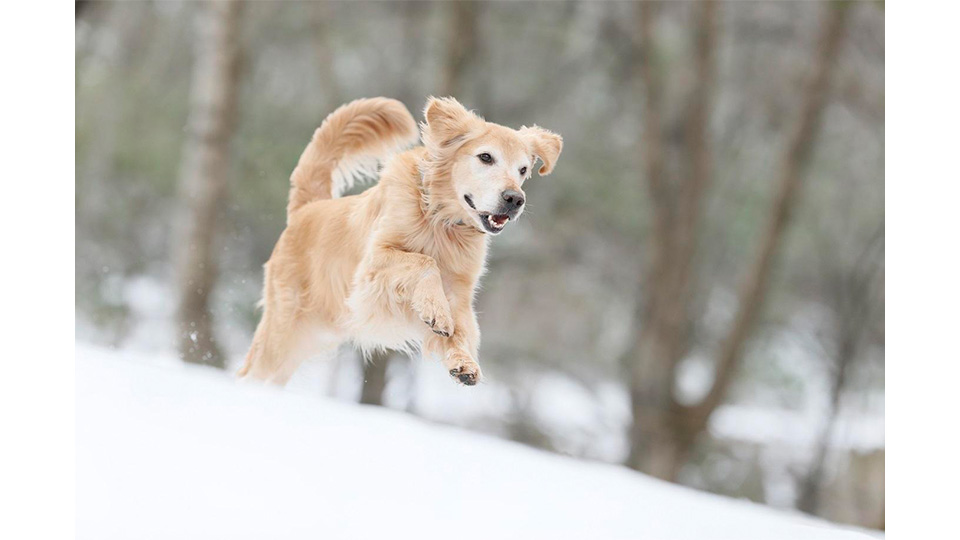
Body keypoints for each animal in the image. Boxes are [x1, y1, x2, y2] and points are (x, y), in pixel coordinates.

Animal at [238, 95, 564, 386]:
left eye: (523, 169)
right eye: (486, 157)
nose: (515, 199)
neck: (440, 220)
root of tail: (307, 209)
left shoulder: (460, 293)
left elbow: (459, 331)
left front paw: (464, 362)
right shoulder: (373, 265)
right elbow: (424, 261)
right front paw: (435, 311)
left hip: (314, 336)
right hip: (285, 330)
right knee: (252, 370)